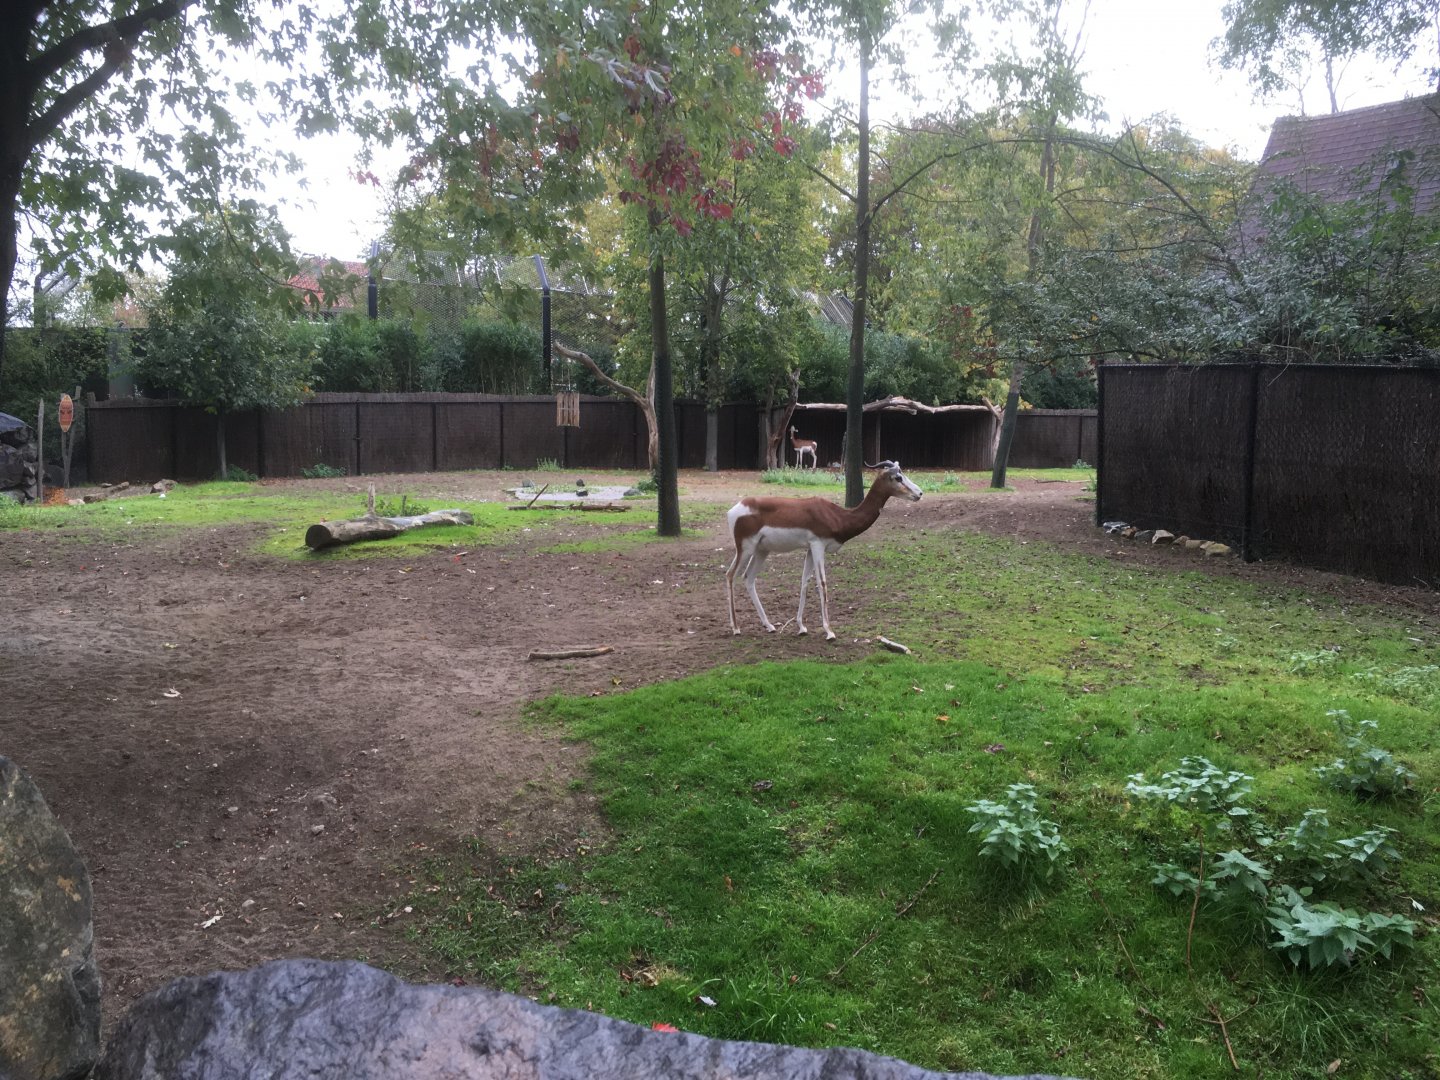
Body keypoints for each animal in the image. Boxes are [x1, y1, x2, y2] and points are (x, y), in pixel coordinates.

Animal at [725, 461, 923, 641]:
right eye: (898, 477)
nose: (920, 493)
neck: (838, 516)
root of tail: (734, 509)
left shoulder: (810, 549)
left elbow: (804, 581)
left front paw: (801, 627)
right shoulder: (818, 545)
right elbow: (822, 583)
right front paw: (829, 631)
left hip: (761, 551)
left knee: (748, 578)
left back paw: (769, 625)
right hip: (745, 547)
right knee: (730, 575)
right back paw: (736, 628)